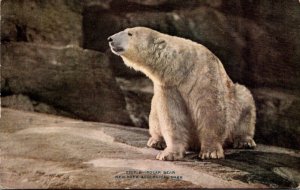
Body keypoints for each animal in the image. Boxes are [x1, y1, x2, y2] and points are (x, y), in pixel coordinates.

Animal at [108, 26, 255, 160]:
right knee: (154, 113)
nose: (110, 39)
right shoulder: (169, 86)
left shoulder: (204, 76)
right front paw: (169, 154)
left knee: (245, 102)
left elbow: (211, 110)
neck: (181, 67)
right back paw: (156, 141)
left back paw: (244, 141)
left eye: (130, 33)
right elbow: (172, 116)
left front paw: (210, 152)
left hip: (236, 96)